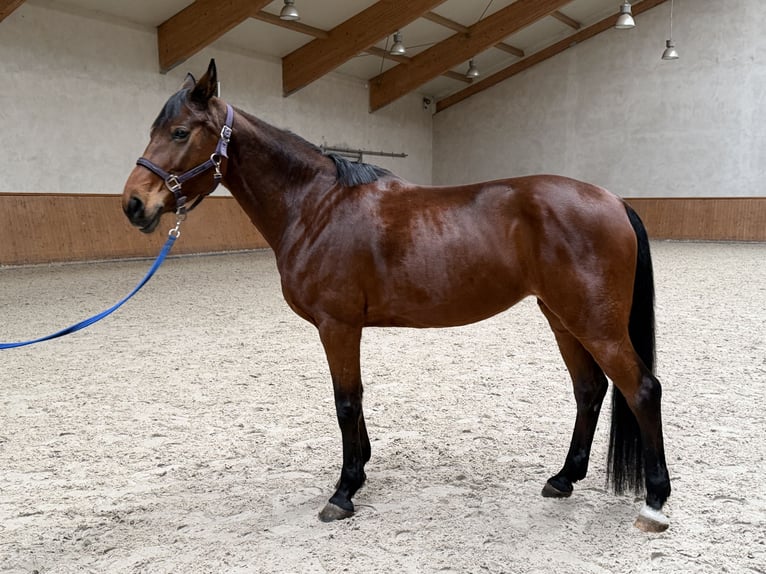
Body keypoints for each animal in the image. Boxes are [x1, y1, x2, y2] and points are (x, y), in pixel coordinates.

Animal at [122, 60, 671, 532]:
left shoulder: (337, 325)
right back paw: (563, 479)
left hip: (595, 323)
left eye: (180, 132)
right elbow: (354, 399)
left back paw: (654, 502)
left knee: (642, 389)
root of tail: (613, 200)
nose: (133, 205)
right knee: (590, 390)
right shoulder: (345, 328)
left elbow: (346, 401)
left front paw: (344, 492)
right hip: (562, 317)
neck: (316, 206)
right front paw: (360, 468)